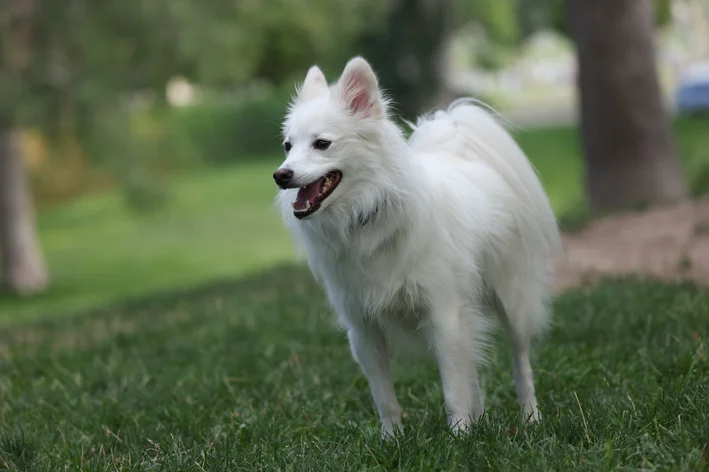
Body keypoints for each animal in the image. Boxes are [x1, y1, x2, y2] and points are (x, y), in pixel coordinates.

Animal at [274, 57, 560, 436]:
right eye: (288, 147)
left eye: (322, 144)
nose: (281, 175)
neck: (365, 214)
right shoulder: (364, 330)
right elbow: (385, 397)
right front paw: (391, 439)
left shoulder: (444, 314)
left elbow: (452, 388)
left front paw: (459, 436)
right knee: (472, 367)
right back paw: (481, 416)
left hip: (511, 300)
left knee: (520, 361)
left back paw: (530, 416)